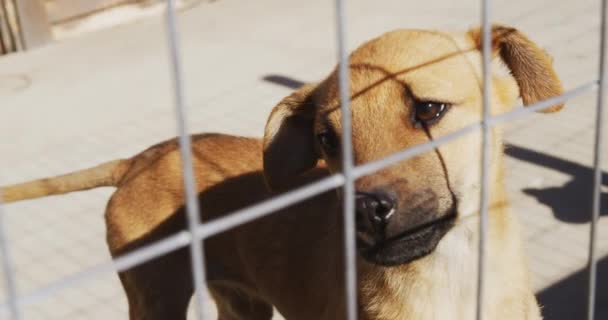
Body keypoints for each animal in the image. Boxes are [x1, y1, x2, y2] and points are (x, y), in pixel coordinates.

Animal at [0, 25, 564, 320]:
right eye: (326, 140)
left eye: (429, 109)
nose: (361, 211)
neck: (451, 275)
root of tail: (138, 159)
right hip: (156, 300)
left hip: (242, 304)